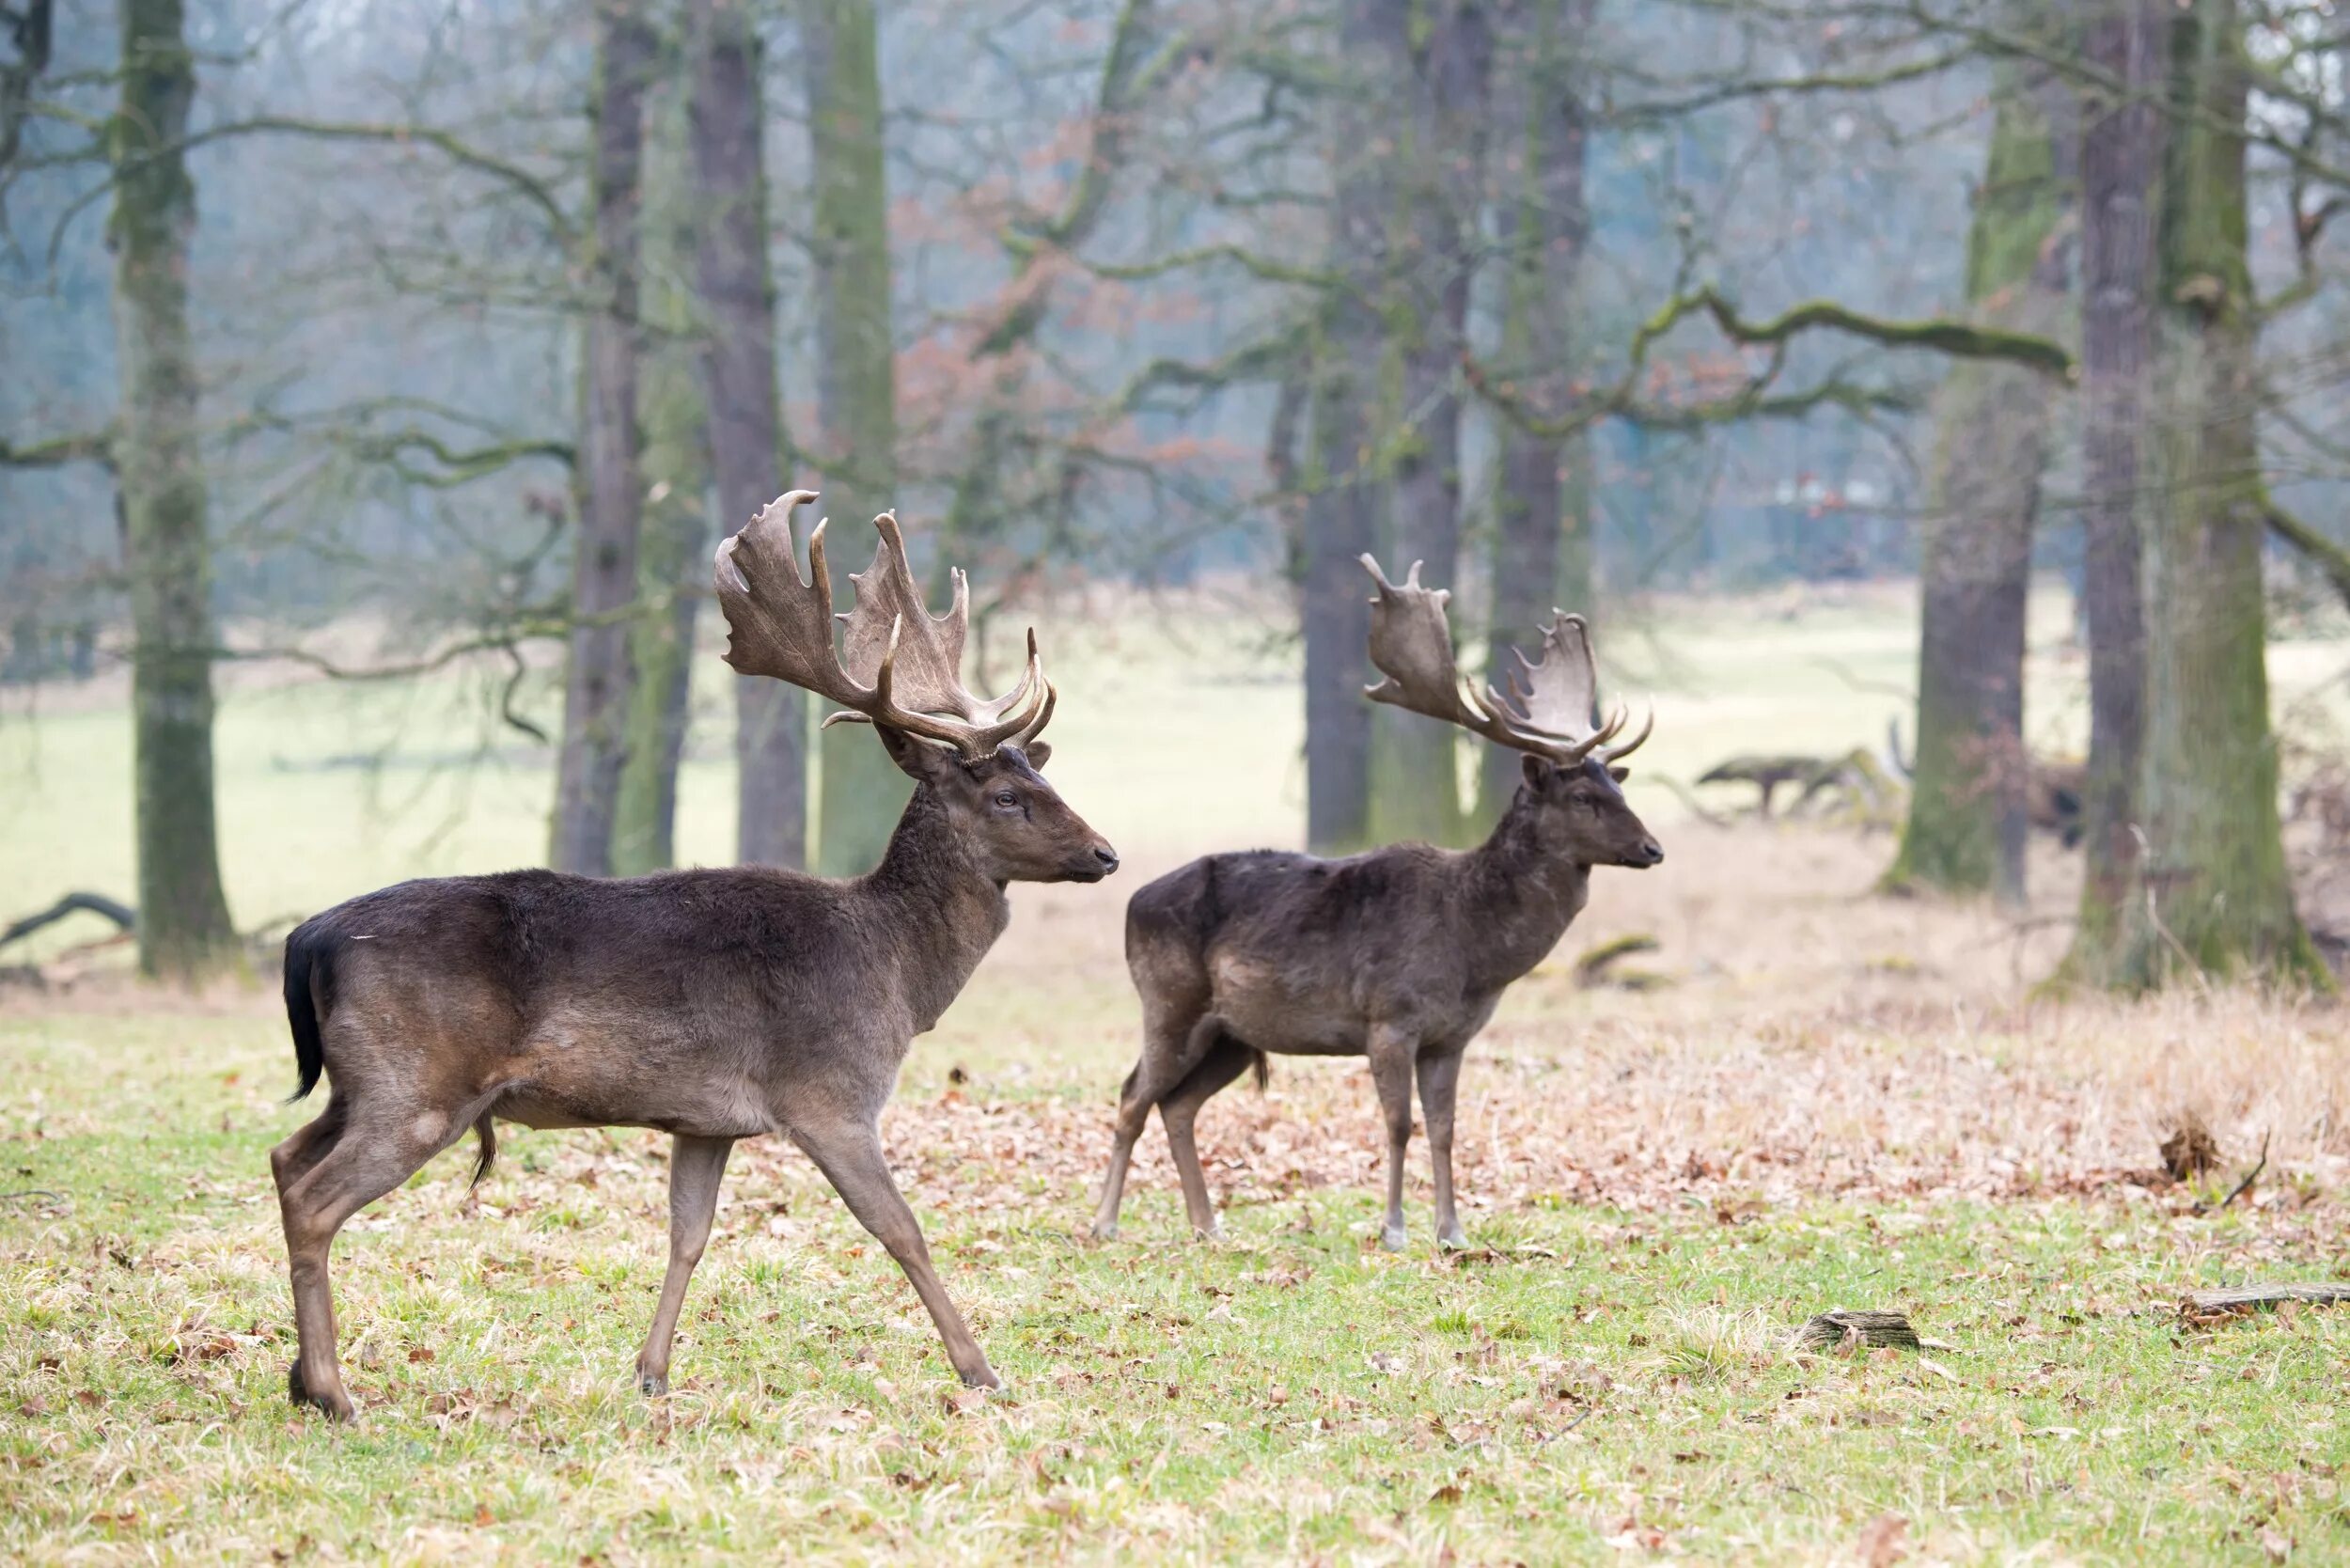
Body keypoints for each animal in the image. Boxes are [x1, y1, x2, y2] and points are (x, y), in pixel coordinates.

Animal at [270, 494, 1114, 1419]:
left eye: (1045, 779)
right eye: (1005, 796)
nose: (1106, 853)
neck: (894, 972)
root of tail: (308, 939)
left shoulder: (705, 1120)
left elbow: (689, 1234)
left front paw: (650, 1373)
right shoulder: (831, 1093)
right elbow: (902, 1230)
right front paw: (981, 1371)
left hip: (361, 1081)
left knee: (283, 1157)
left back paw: (303, 1378)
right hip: (417, 1083)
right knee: (313, 1199)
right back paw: (333, 1394)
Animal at [1090, 552, 1664, 1250]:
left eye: (1618, 783)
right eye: (1583, 796)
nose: (1652, 848)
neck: (1474, 953)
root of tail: (1131, 903)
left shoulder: (1452, 1037)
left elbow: (1445, 1128)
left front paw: (1451, 1231)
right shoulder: (1389, 1018)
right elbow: (1398, 1124)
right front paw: (1393, 1229)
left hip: (1230, 1033)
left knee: (1178, 1103)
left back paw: (1207, 1226)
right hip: (1168, 1000)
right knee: (1132, 1095)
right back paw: (1105, 1222)